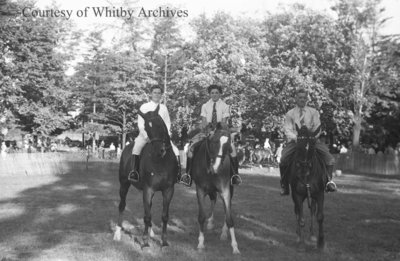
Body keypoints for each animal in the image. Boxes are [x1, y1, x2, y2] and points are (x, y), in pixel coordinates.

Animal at [115, 104, 179, 247]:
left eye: (160, 124)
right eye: (146, 128)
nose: (160, 150)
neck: (161, 161)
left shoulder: (168, 190)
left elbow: (164, 216)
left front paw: (164, 241)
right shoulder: (148, 189)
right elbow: (147, 216)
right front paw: (144, 242)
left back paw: (151, 233)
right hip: (124, 184)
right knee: (122, 205)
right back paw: (117, 234)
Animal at [189, 123, 239, 253]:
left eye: (228, 145)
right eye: (214, 142)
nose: (216, 167)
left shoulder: (225, 191)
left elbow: (229, 218)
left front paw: (235, 246)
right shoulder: (200, 190)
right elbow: (201, 217)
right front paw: (201, 243)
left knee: (223, 206)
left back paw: (223, 233)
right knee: (213, 199)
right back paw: (210, 223)